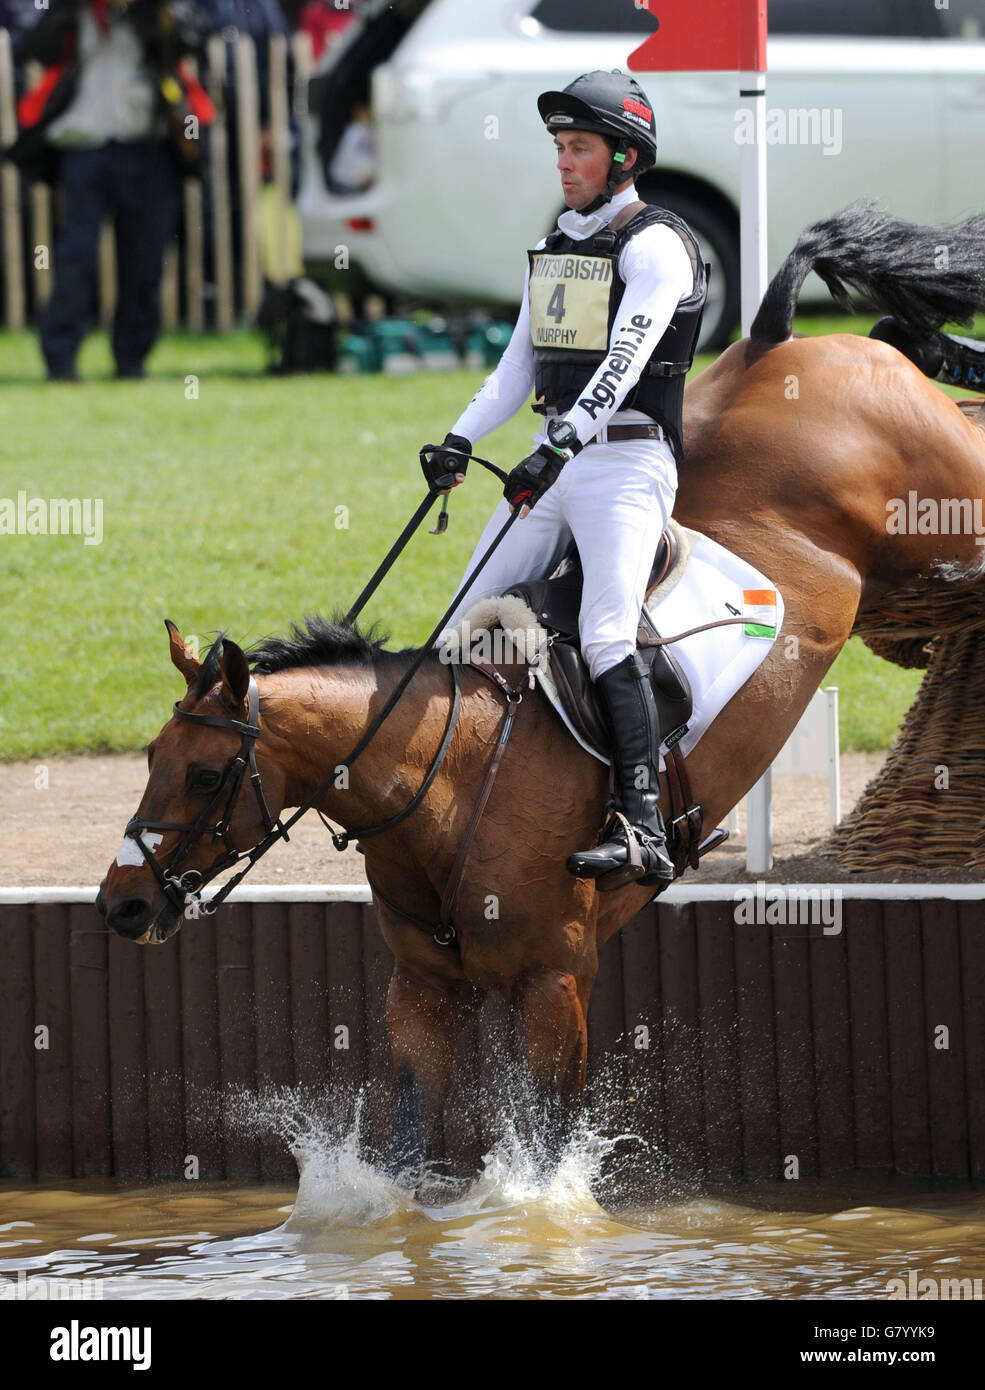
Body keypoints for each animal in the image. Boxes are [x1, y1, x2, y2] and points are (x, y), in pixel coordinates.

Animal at [97, 202, 985, 1184]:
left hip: (953, 514)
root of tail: (774, 340)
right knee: (893, 331)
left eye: (208, 775)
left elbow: (548, 1160)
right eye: (152, 758)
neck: (443, 784)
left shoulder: (555, 988)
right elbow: (406, 1151)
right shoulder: (424, 991)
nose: (121, 905)